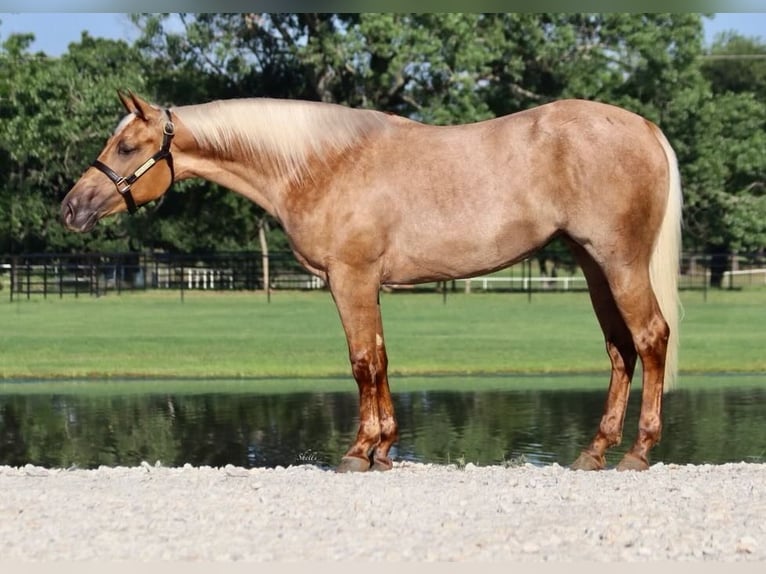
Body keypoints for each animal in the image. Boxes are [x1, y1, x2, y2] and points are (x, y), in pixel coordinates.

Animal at [61, 91, 682, 473]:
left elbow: (362, 360)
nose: (71, 208)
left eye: (126, 146)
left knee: (650, 338)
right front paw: (383, 449)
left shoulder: (350, 278)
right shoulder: (366, 284)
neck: (321, 164)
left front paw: (359, 451)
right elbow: (380, 357)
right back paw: (594, 452)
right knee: (619, 349)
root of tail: (647, 128)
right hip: (593, 264)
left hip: (619, 263)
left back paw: (638, 452)